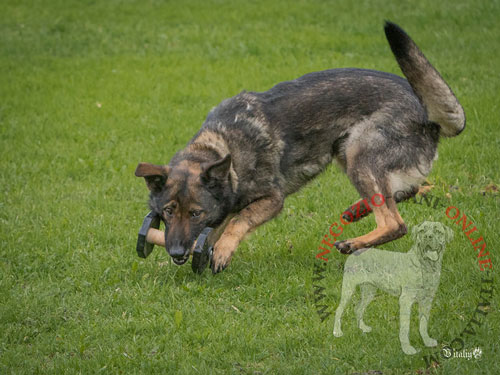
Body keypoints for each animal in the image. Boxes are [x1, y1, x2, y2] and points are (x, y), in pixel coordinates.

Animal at [136, 22, 464, 274]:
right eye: (168, 212)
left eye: (195, 213)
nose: (177, 253)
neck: (222, 147)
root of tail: (429, 115)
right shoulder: (224, 207)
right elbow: (217, 228)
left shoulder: (271, 200)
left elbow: (238, 221)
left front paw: (223, 251)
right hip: (345, 149)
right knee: (405, 190)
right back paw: (357, 211)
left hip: (359, 151)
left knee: (396, 222)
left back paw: (355, 241)